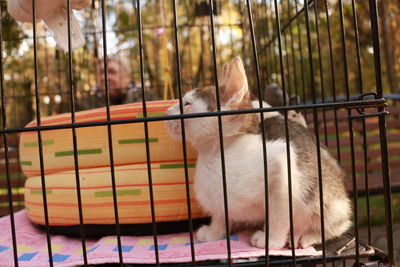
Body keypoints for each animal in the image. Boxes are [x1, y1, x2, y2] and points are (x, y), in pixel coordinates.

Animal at [163, 57, 350, 251]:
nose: (166, 112)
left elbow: (278, 215)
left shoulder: (282, 168)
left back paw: (303, 236)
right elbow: (220, 216)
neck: (215, 153)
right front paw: (214, 233)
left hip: (327, 203)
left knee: (337, 226)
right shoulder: (221, 202)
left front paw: (271, 241)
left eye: (187, 104)